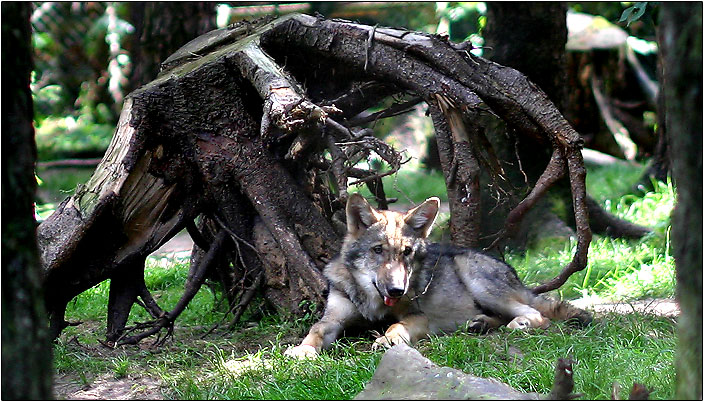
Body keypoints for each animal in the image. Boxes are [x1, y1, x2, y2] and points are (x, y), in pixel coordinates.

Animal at [284, 193, 592, 356]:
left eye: (407, 252)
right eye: (378, 250)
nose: (397, 290)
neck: (374, 303)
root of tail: (514, 275)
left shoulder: (419, 317)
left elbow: (396, 326)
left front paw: (388, 339)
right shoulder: (334, 318)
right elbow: (315, 330)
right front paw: (302, 351)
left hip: (476, 278)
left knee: (537, 314)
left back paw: (519, 324)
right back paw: (479, 324)